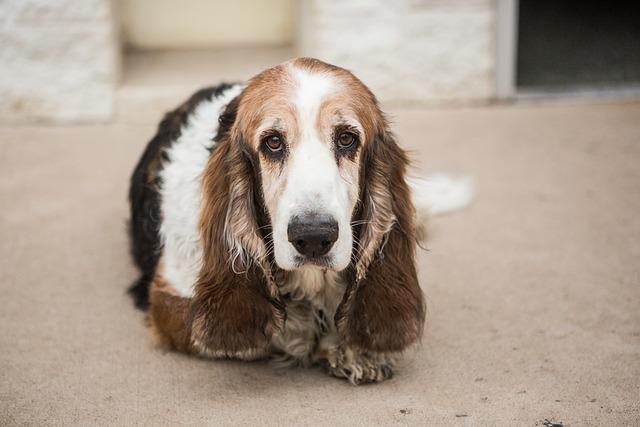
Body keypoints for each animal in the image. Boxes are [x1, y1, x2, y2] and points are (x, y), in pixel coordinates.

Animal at [127, 57, 472, 384]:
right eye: (273, 142)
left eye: (346, 139)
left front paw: (356, 351)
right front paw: (335, 346)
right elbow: (278, 331)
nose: (314, 237)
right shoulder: (168, 296)